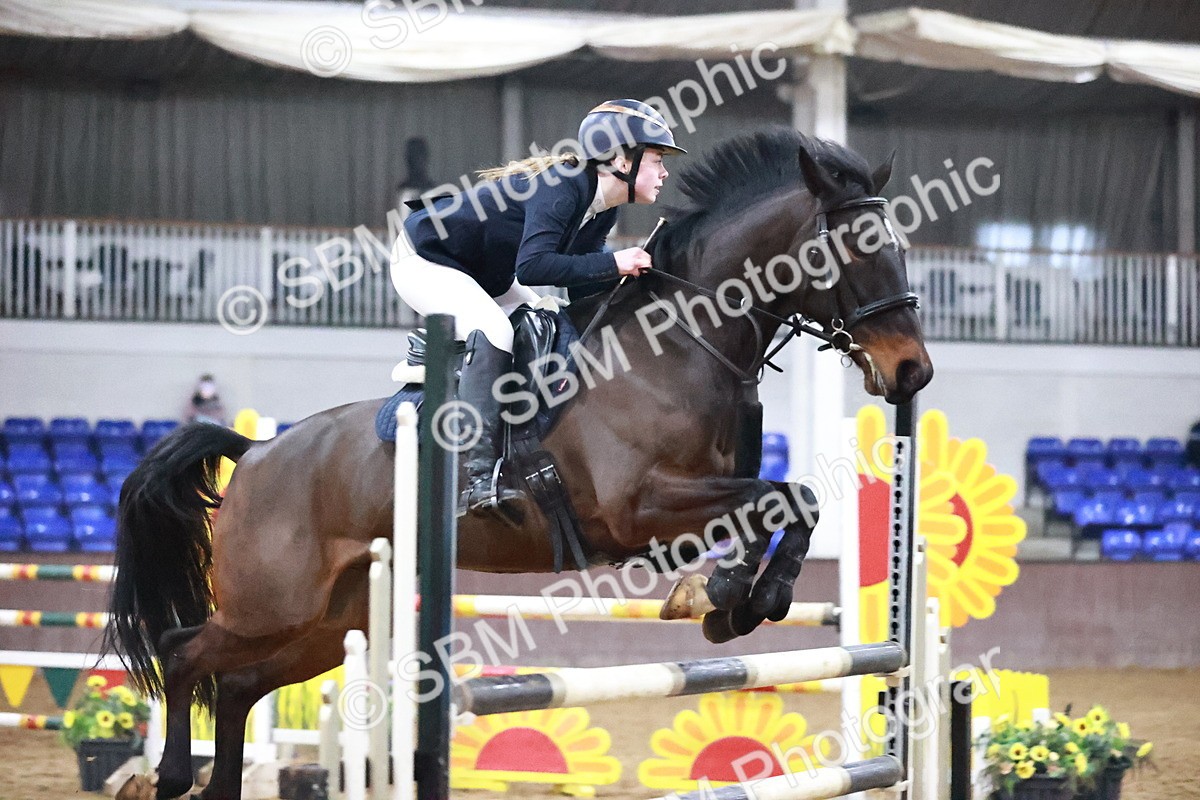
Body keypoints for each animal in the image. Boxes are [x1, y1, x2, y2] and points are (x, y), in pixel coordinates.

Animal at [106, 127, 933, 800]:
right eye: (855, 251)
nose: (913, 373)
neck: (678, 346)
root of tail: (256, 451)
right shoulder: (639, 507)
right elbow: (782, 497)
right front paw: (732, 596)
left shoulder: (684, 509)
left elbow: (787, 501)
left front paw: (727, 600)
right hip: (272, 603)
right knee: (185, 653)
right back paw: (167, 775)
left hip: (324, 620)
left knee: (238, 685)